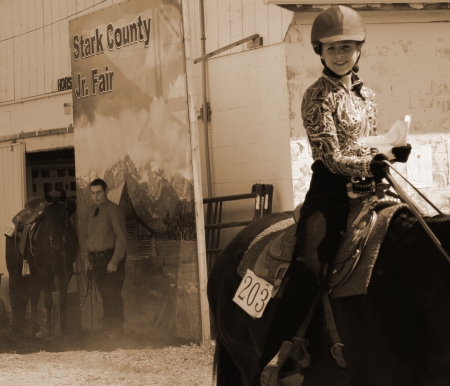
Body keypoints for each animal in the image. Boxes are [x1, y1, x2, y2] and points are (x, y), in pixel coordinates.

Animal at [4, 191, 78, 336]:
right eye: (47, 216)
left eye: (64, 214)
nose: (56, 244)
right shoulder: (45, 272)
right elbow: (48, 301)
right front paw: (49, 329)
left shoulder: (66, 271)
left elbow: (63, 299)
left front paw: (64, 329)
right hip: (15, 269)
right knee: (14, 295)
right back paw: (16, 328)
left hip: (33, 273)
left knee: (31, 294)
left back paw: (33, 328)